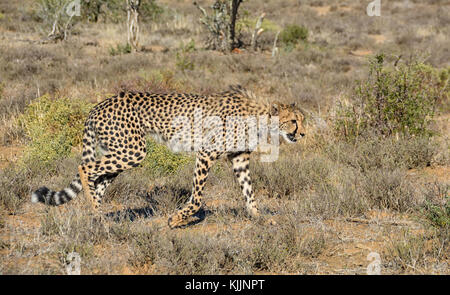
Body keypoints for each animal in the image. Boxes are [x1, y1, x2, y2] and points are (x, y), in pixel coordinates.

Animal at [30, 85, 306, 229]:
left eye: (302, 120)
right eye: (293, 121)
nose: (302, 134)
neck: (259, 118)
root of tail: (99, 105)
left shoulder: (239, 158)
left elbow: (249, 191)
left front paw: (259, 218)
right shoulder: (206, 153)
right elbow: (197, 197)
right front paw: (176, 219)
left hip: (119, 152)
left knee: (99, 179)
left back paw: (99, 217)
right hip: (133, 151)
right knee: (86, 168)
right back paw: (95, 210)